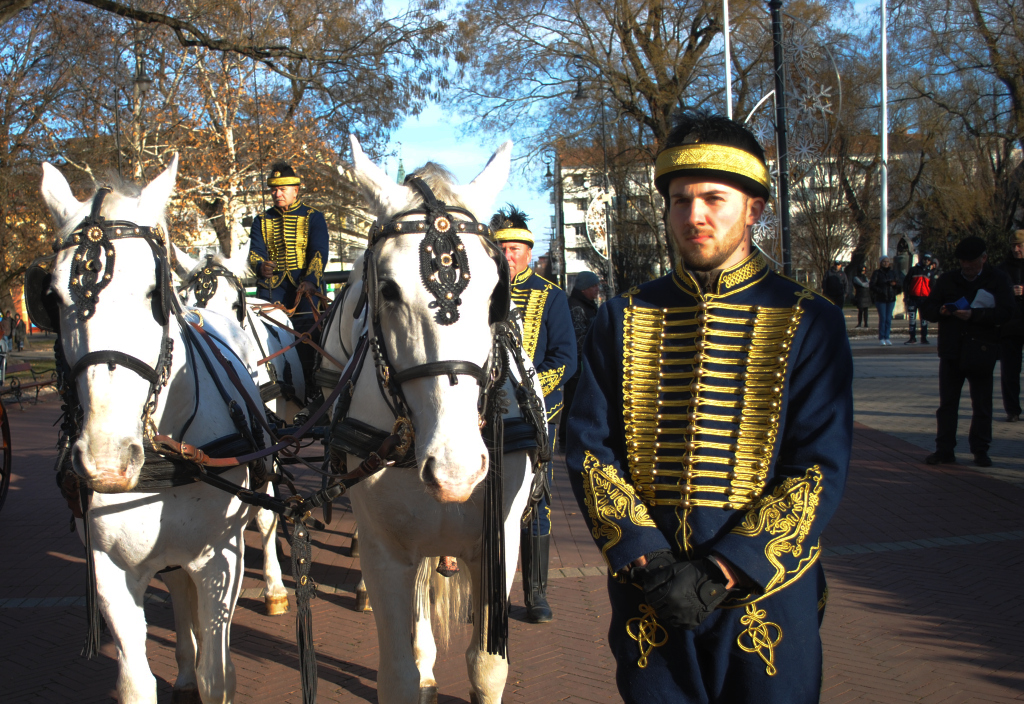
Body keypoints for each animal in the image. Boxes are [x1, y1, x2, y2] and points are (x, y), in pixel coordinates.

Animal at [42, 159, 268, 704]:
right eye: (52, 298)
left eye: (154, 294)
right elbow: (135, 680)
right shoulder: (111, 570)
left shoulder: (221, 560)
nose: (106, 461)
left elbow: (217, 674)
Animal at [321, 135, 540, 699]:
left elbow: (487, 666)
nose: (455, 469)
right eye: (387, 290)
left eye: (497, 295)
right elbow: (401, 676)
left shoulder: (497, 546)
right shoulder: (388, 554)